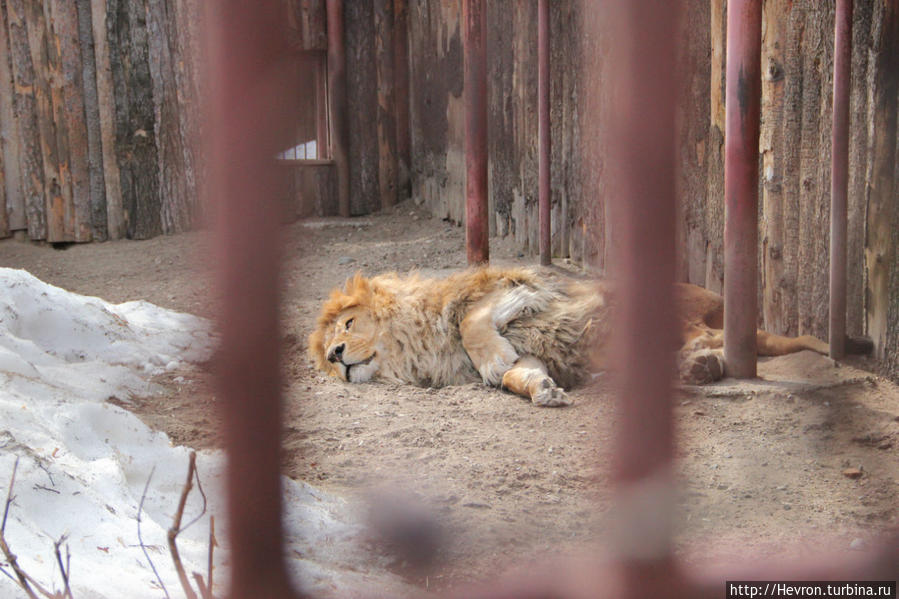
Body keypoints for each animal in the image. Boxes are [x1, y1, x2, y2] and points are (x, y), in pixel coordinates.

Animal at [312, 268, 828, 408]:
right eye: (326, 355)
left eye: (348, 325)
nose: (336, 356)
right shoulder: (532, 349)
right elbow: (517, 376)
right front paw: (540, 389)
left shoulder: (517, 285)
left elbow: (471, 323)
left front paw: (493, 359)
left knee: (707, 336)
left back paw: (696, 365)